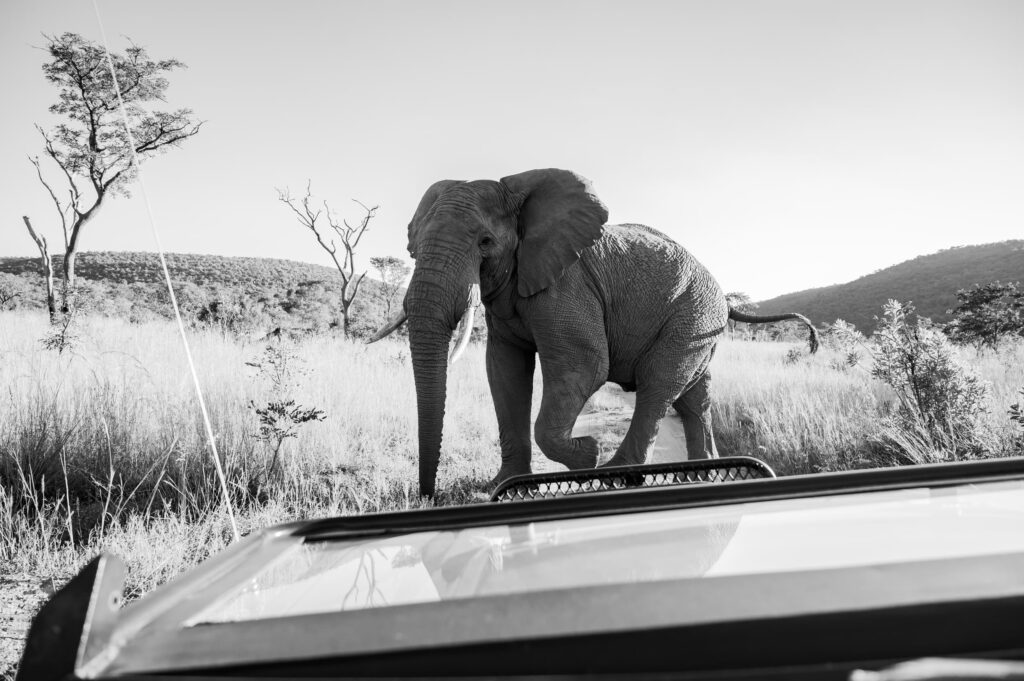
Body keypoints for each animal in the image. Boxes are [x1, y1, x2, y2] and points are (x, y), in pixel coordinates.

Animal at [368, 168, 815, 499]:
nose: (427, 496)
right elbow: (505, 372)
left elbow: (583, 366)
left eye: (485, 242)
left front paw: (587, 454)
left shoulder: (568, 285)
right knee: (694, 399)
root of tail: (724, 296)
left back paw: (616, 474)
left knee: (658, 386)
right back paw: (699, 476)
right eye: (411, 250)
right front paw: (503, 485)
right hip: (700, 323)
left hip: (691, 315)